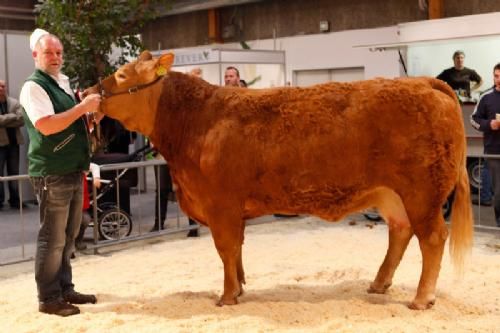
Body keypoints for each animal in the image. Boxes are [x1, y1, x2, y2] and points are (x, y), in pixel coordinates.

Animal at [86, 51, 472, 308]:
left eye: (122, 75)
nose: (89, 91)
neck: (195, 121)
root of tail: (426, 82)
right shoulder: (231, 209)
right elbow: (237, 249)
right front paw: (240, 286)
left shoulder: (221, 204)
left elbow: (225, 248)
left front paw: (227, 296)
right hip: (392, 194)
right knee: (400, 232)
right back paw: (379, 284)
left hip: (423, 193)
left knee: (432, 238)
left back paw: (421, 299)